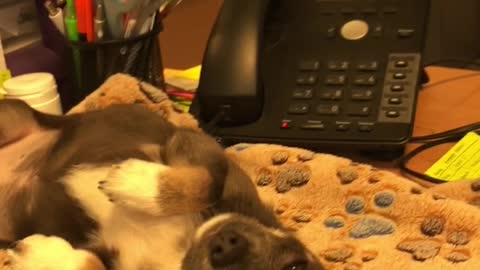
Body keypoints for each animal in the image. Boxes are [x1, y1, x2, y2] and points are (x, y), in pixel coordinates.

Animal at [0, 100, 324, 270]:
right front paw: (137, 183)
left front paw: (41, 254)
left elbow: (91, 262)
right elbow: (209, 182)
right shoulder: (198, 144)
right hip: (13, 113)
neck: (177, 255)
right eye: (296, 267)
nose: (227, 246)